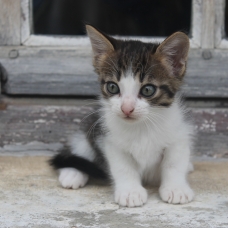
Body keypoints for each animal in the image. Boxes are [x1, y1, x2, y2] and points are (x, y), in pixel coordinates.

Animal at [50, 24, 195, 207]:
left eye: (148, 90)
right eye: (112, 87)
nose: (126, 108)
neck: (142, 126)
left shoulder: (179, 133)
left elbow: (174, 163)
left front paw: (176, 189)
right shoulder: (109, 139)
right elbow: (123, 167)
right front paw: (130, 192)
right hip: (89, 129)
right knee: (78, 147)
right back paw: (72, 173)